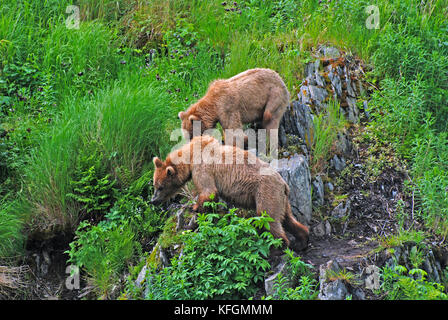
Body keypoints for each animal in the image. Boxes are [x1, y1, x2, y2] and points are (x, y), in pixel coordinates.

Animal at [150, 135, 308, 250]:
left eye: (160, 187)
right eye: (154, 185)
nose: (153, 200)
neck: (191, 156)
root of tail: (284, 184)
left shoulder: (203, 168)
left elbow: (208, 191)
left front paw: (194, 208)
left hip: (266, 191)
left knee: (268, 218)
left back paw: (278, 245)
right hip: (281, 199)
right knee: (287, 218)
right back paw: (301, 240)